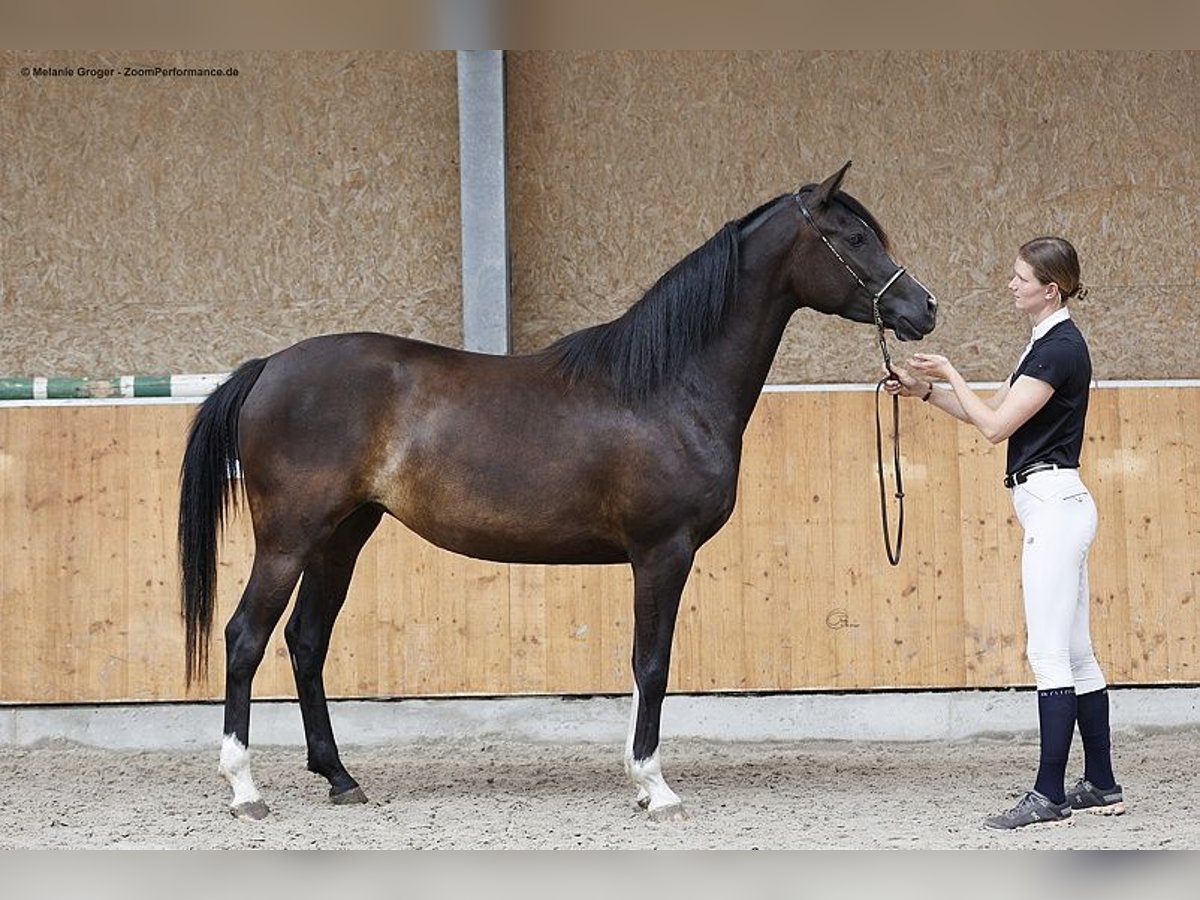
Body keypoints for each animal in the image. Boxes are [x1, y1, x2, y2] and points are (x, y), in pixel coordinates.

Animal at [178, 161, 937, 821]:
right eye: (856, 238)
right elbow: (653, 663)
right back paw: (245, 791)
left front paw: (639, 783)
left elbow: (640, 666)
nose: (924, 308)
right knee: (245, 637)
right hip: (290, 538)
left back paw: (340, 778)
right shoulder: (663, 551)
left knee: (306, 641)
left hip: (342, 535)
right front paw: (655, 788)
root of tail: (270, 366)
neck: (667, 385)